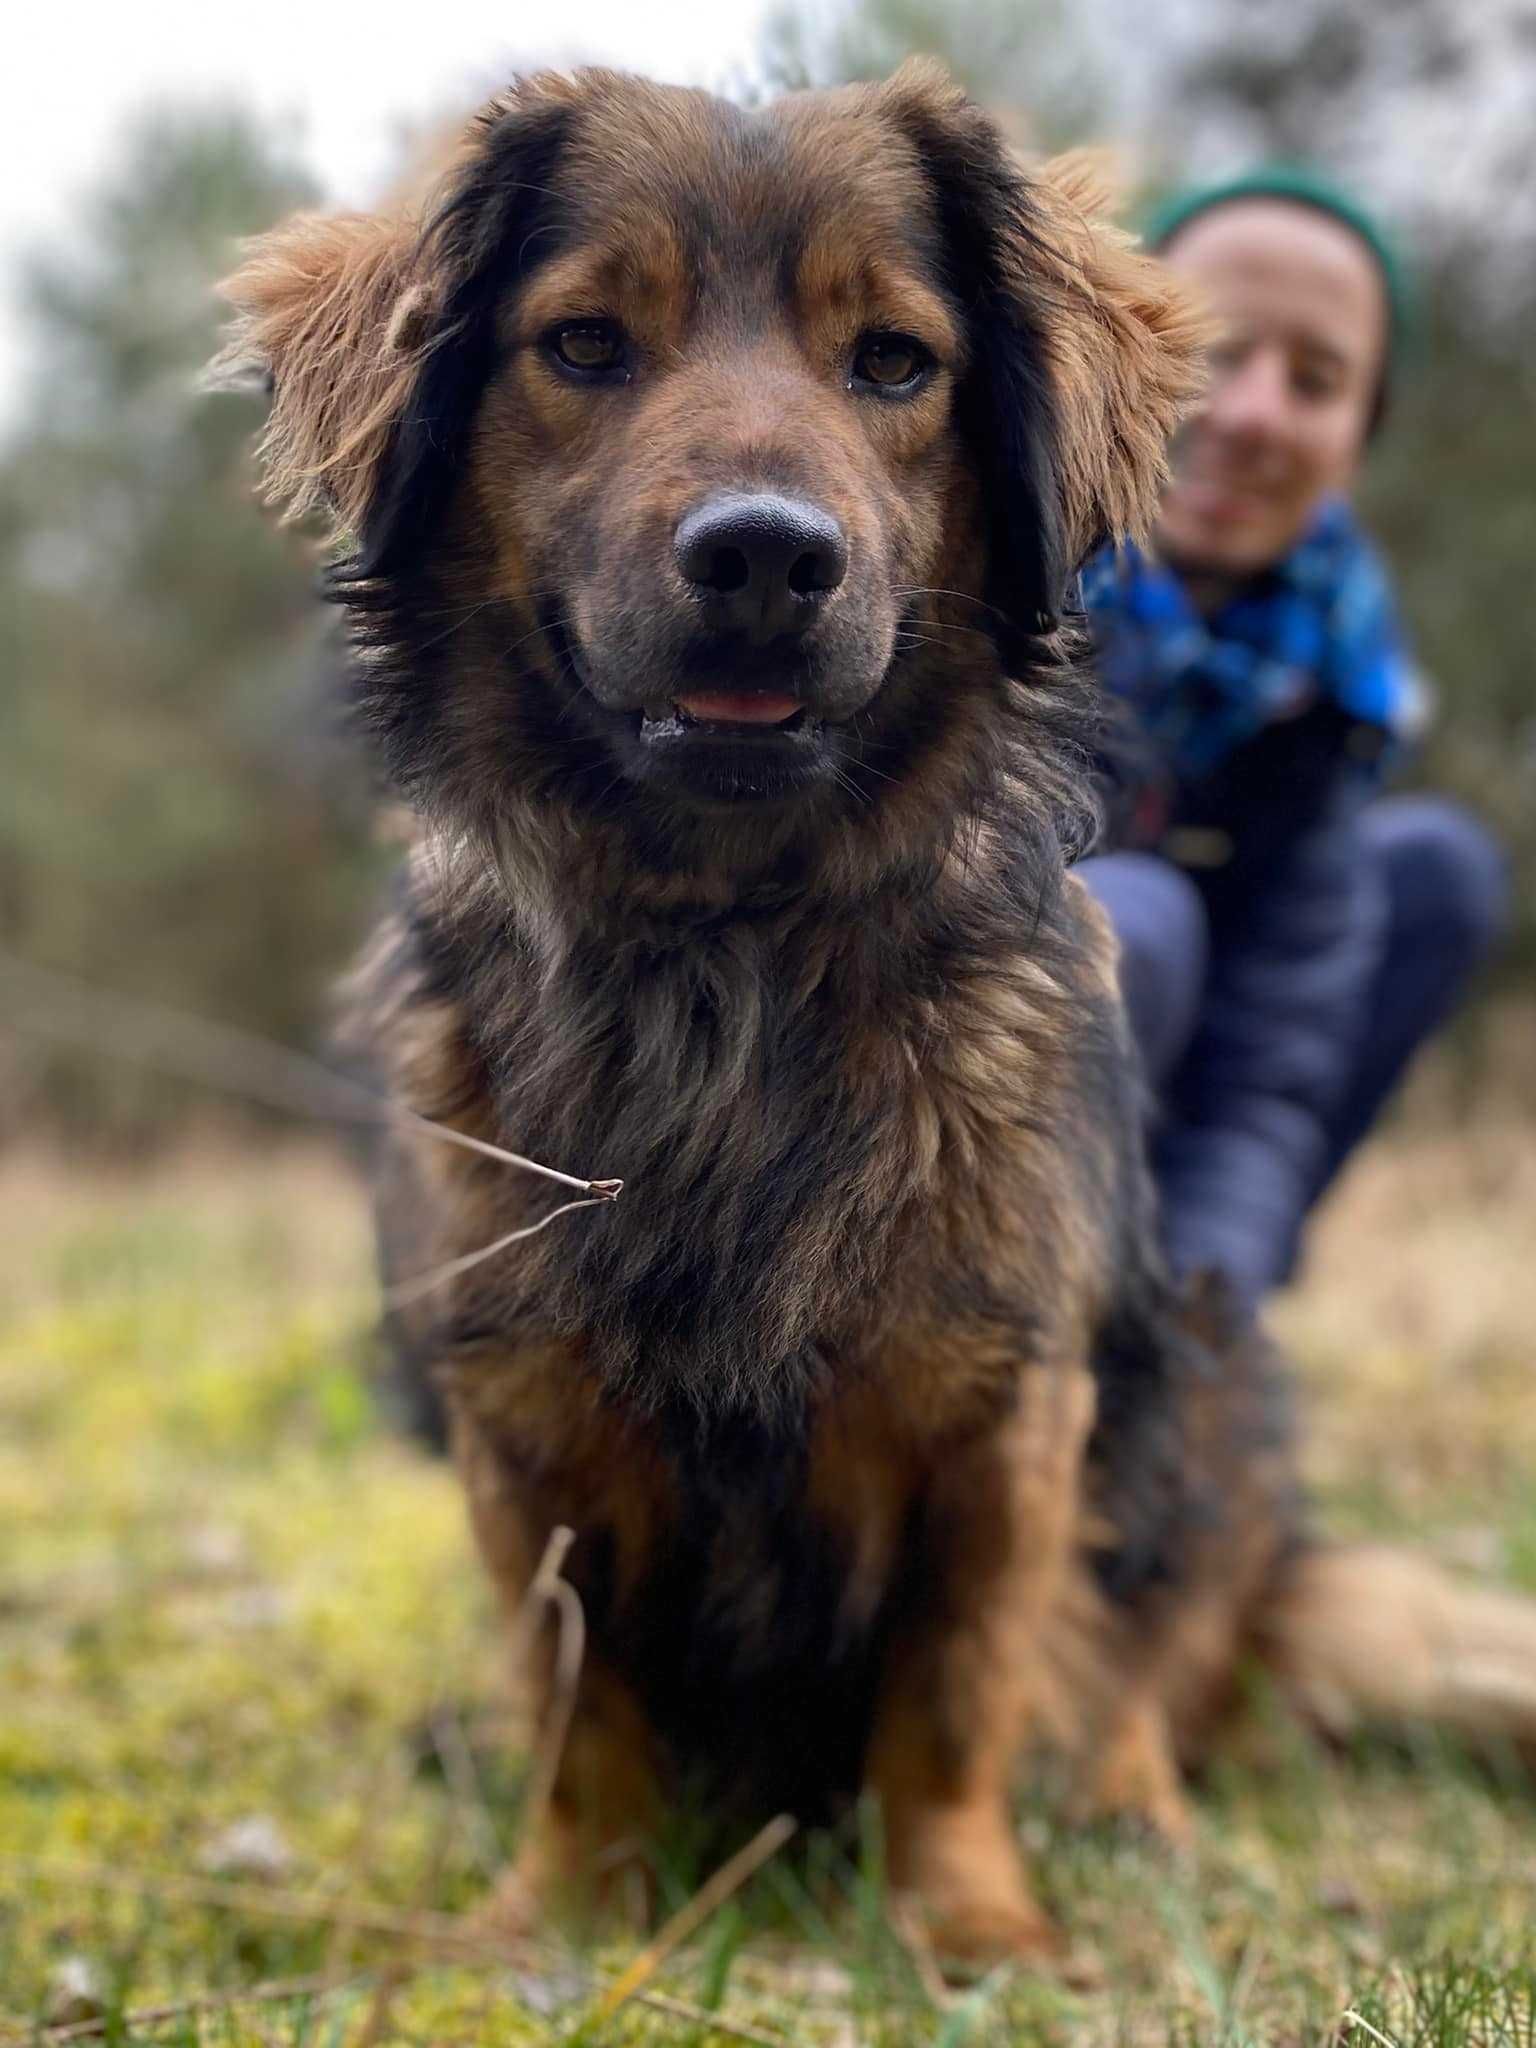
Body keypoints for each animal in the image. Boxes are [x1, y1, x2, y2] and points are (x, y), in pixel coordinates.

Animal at [214, 64, 1536, 1966]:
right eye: (585, 342)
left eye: (895, 361)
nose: (766, 558)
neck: (728, 953)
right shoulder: (518, 1411)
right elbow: (575, 1697)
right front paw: (565, 1914)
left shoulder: (1006, 1400)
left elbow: (955, 1684)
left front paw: (968, 1917)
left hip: (1202, 1370)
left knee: (1147, 1655)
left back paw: (1132, 1806)